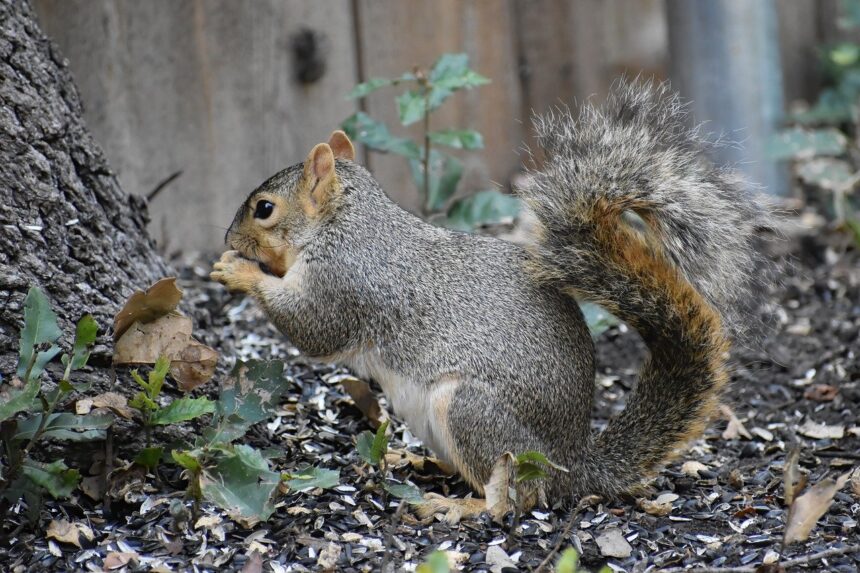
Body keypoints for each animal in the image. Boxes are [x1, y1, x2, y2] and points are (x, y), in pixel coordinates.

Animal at [212, 79, 768, 510]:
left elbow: (313, 328)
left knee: (513, 500)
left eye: (264, 209)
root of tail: (572, 466)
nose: (228, 238)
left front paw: (238, 271)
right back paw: (414, 458)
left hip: (471, 412)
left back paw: (459, 508)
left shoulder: (345, 281)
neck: (346, 223)